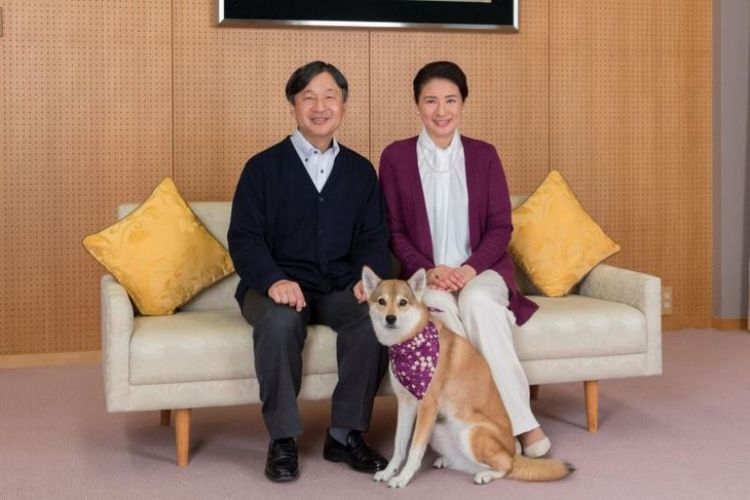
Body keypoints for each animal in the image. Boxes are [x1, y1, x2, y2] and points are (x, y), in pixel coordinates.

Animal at [364, 268, 576, 486]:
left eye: (403, 302)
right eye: (381, 301)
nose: (390, 318)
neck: (410, 342)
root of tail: (512, 451)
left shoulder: (427, 407)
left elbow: (414, 451)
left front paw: (402, 478)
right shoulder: (406, 404)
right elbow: (399, 446)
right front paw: (388, 472)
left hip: (471, 434)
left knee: (506, 466)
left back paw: (486, 474)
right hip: (438, 430)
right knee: (466, 462)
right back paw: (447, 460)